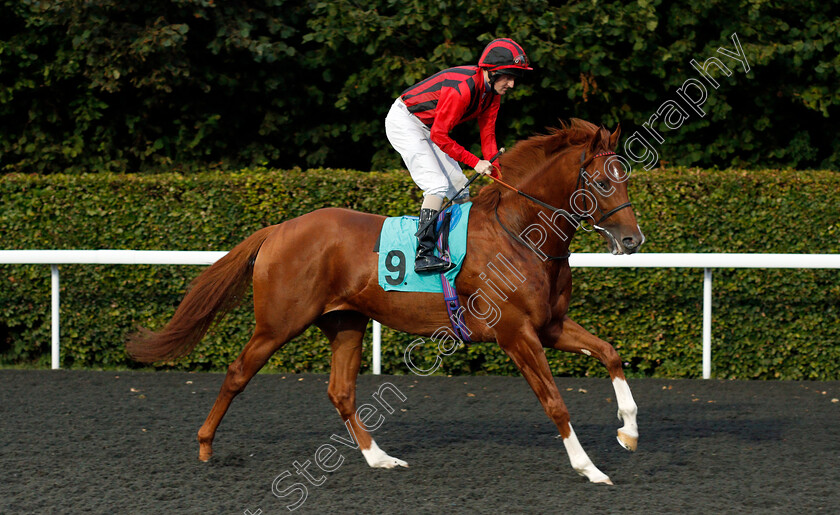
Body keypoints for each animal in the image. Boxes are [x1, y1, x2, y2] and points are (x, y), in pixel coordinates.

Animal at [126, 119, 644, 486]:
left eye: (627, 177)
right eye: (603, 182)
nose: (633, 240)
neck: (521, 235)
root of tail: (280, 228)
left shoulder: (550, 325)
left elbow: (611, 353)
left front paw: (628, 431)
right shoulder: (516, 333)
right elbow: (555, 402)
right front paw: (590, 468)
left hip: (346, 322)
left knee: (340, 391)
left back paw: (379, 457)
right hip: (278, 323)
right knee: (237, 373)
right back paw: (206, 445)